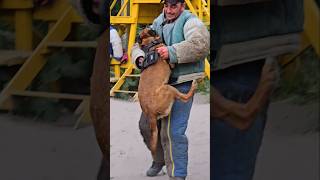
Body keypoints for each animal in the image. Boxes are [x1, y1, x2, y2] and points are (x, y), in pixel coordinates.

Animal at [136, 28, 196, 157]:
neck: (150, 43)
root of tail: (150, 113)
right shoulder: (170, 61)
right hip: (169, 88)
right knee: (185, 98)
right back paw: (193, 86)